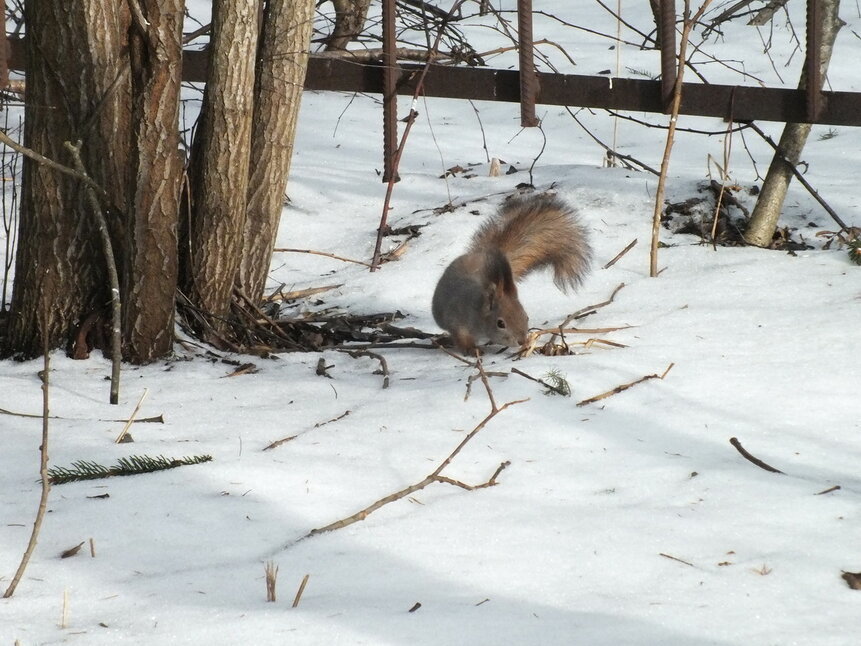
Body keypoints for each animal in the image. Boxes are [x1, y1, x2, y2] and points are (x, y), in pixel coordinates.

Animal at [430, 194, 592, 354]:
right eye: (500, 323)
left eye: (526, 317)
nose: (522, 341)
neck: (479, 312)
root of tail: (480, 255)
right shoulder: (457, 321)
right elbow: (461, 339)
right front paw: (471, 350)